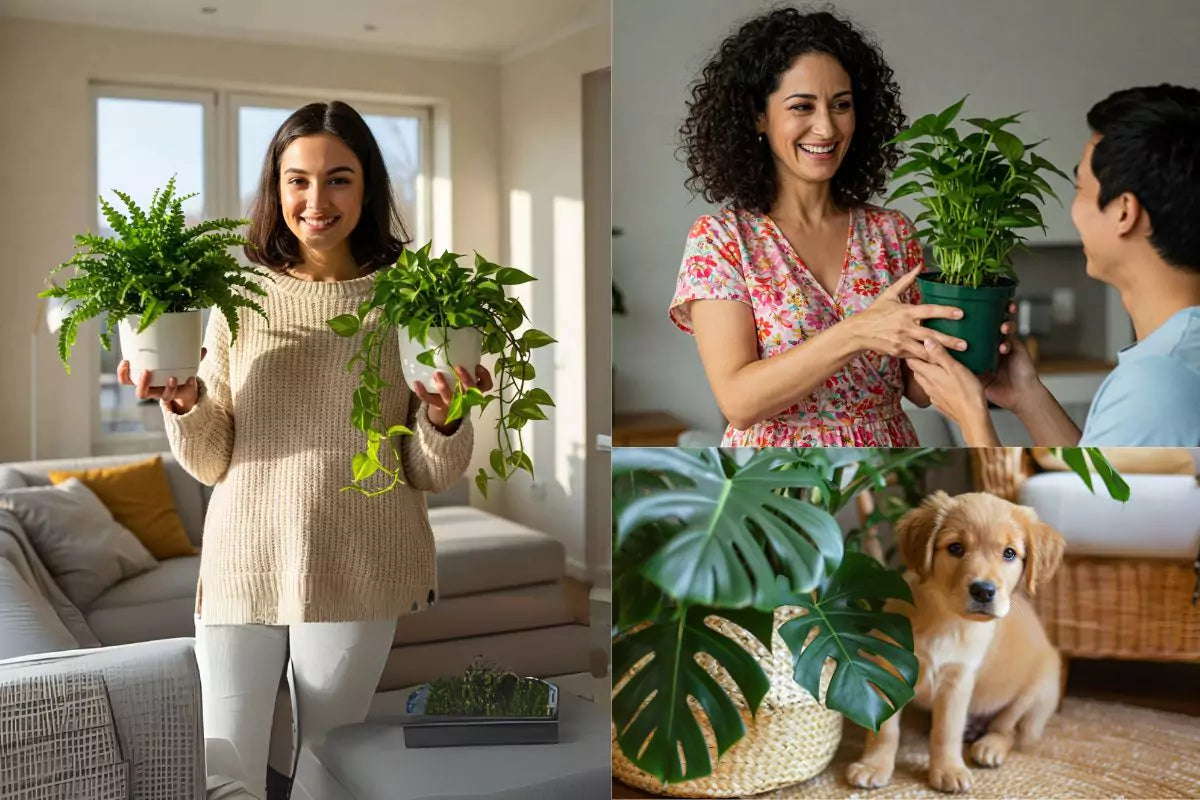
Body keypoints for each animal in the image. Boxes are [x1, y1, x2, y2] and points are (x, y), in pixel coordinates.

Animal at [849, 491, 1065, 791]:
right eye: (955, 548)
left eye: (1009, 553)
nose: (983, 591)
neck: (945, 618)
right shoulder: (889, 668)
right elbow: (886, 728)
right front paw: (873, 765)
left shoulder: (957, 679)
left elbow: (946, 731)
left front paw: (948, 769)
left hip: (1040, 690)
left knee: (1008, 728)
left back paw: (990, 747)